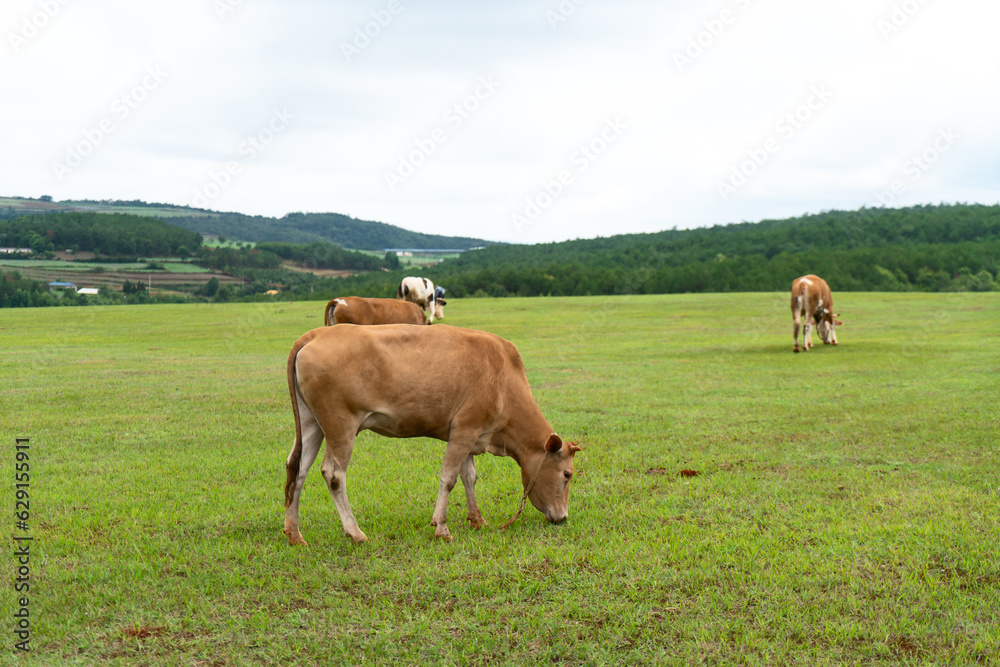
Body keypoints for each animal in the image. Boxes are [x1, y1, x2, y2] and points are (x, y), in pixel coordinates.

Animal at [284, 322, 580, 544]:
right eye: (567, 474)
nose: (563, 517)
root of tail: (316, 334)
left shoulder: (470, 433)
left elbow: (469, 476)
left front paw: (477, 519)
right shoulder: (465, 429)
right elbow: (449, 477)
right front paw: (442, 527)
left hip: (312, 424)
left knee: (298, 470)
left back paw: (295, 533)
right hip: (341, 425)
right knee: (334, 475)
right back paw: (355, 532)